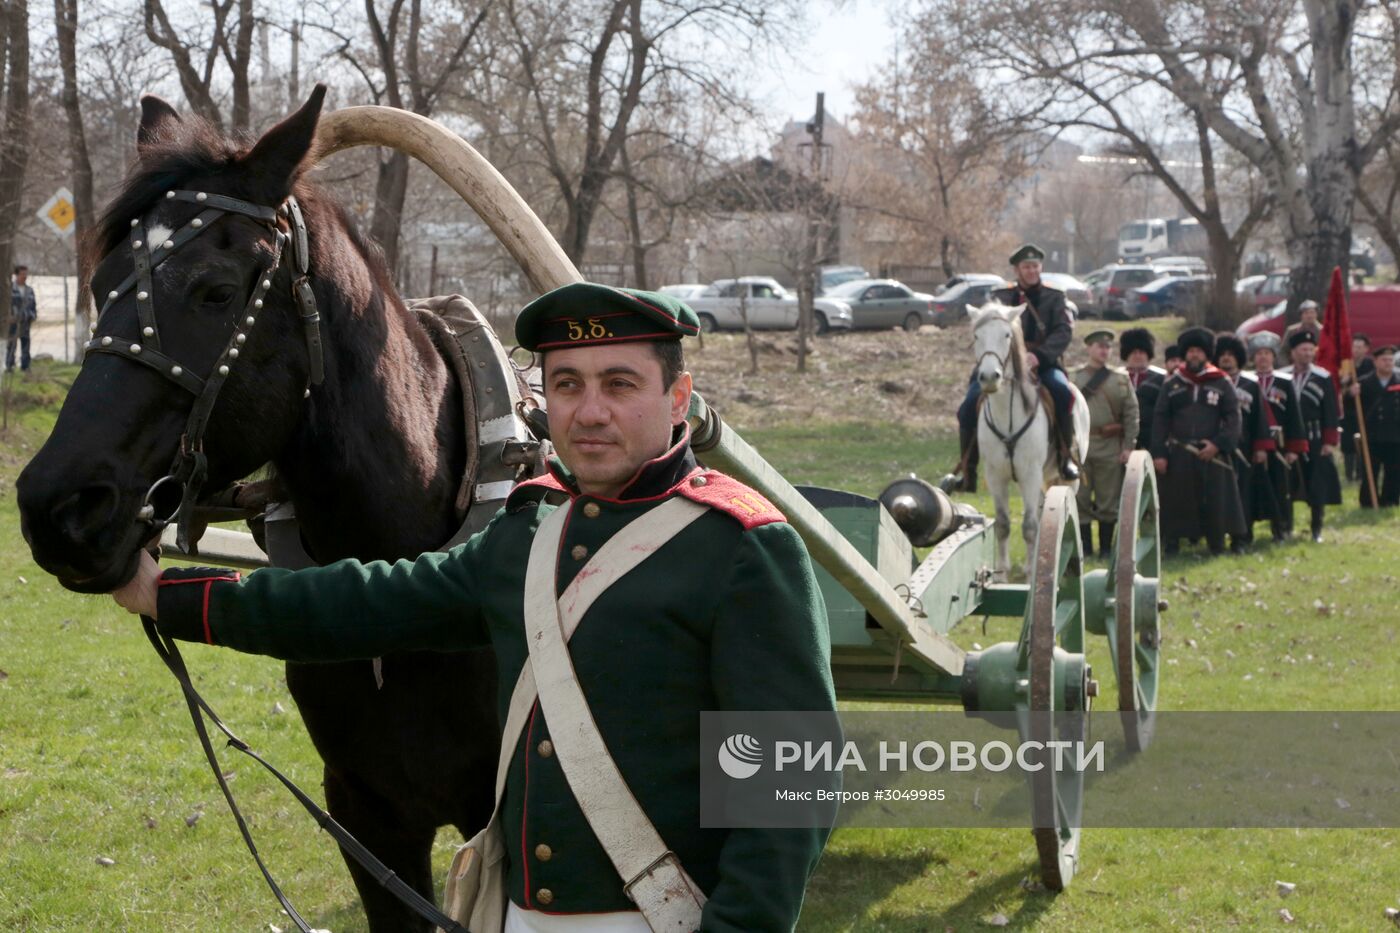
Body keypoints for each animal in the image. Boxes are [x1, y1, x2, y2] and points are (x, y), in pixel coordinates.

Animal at [968, 299, 1086, 574]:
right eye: (977, 336)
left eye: (1007, 335)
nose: (989, 377)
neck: (1007, 416)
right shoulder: (996, 475)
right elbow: (1002, 523)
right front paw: (1002, 570)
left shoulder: (1029, 474)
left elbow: (1030, 525)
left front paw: (1032, 569)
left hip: (1064, 478)